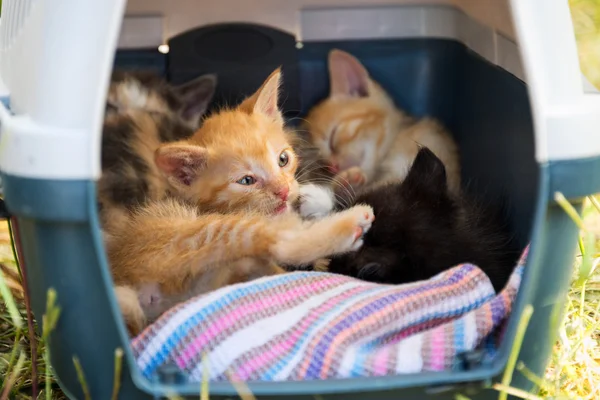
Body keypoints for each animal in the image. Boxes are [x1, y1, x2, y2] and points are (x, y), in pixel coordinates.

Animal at [103, 69, 376, 334]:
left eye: (283, 159)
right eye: (246, 181)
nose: (284, 191)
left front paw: (349, 179)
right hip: (189, 235)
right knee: (276, 242)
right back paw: (350, 224)